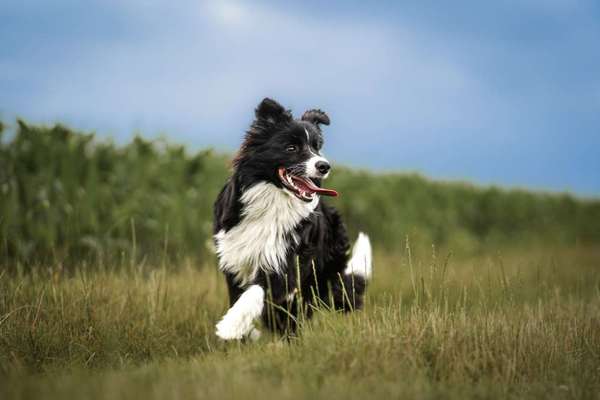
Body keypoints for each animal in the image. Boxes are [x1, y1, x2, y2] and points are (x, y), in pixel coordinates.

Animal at [211, 98, 370, 340]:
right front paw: (243, 331)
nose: (324, 166)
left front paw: (231, 325)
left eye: (316, 147)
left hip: (317, 276)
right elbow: (242, 296)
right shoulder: (235, 260)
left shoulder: (286, 262)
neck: (272, 201)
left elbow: (257, 291)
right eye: (292, 148)